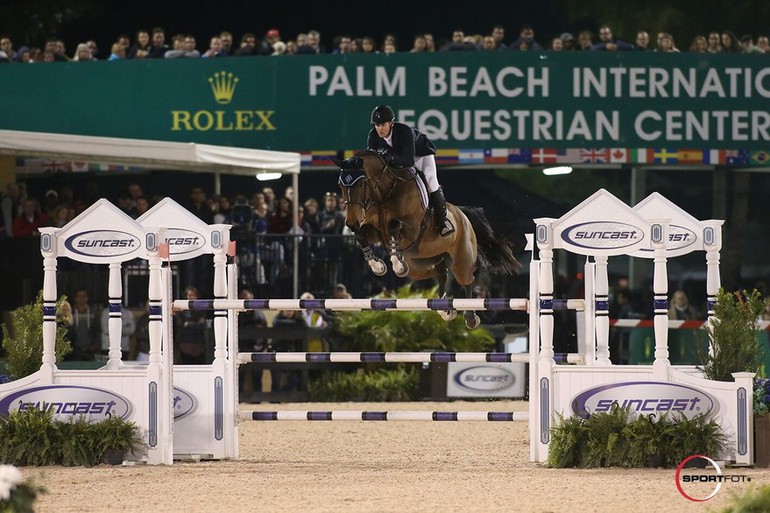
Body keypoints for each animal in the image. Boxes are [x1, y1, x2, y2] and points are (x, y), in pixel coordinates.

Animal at [334, 148, 520, 328]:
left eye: (360, 183)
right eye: (340, 185)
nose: (351, 223)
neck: (384, 194)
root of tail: (463, 215)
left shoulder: (412, 230)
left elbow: (394, 225)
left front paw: (395, 264)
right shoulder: (377, 232)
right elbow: (361, 234)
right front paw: (377, 265)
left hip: (461, 262)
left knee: (468, 279)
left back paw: (470, 317)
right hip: (418, 266)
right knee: (441, 272)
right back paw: (445, 310)